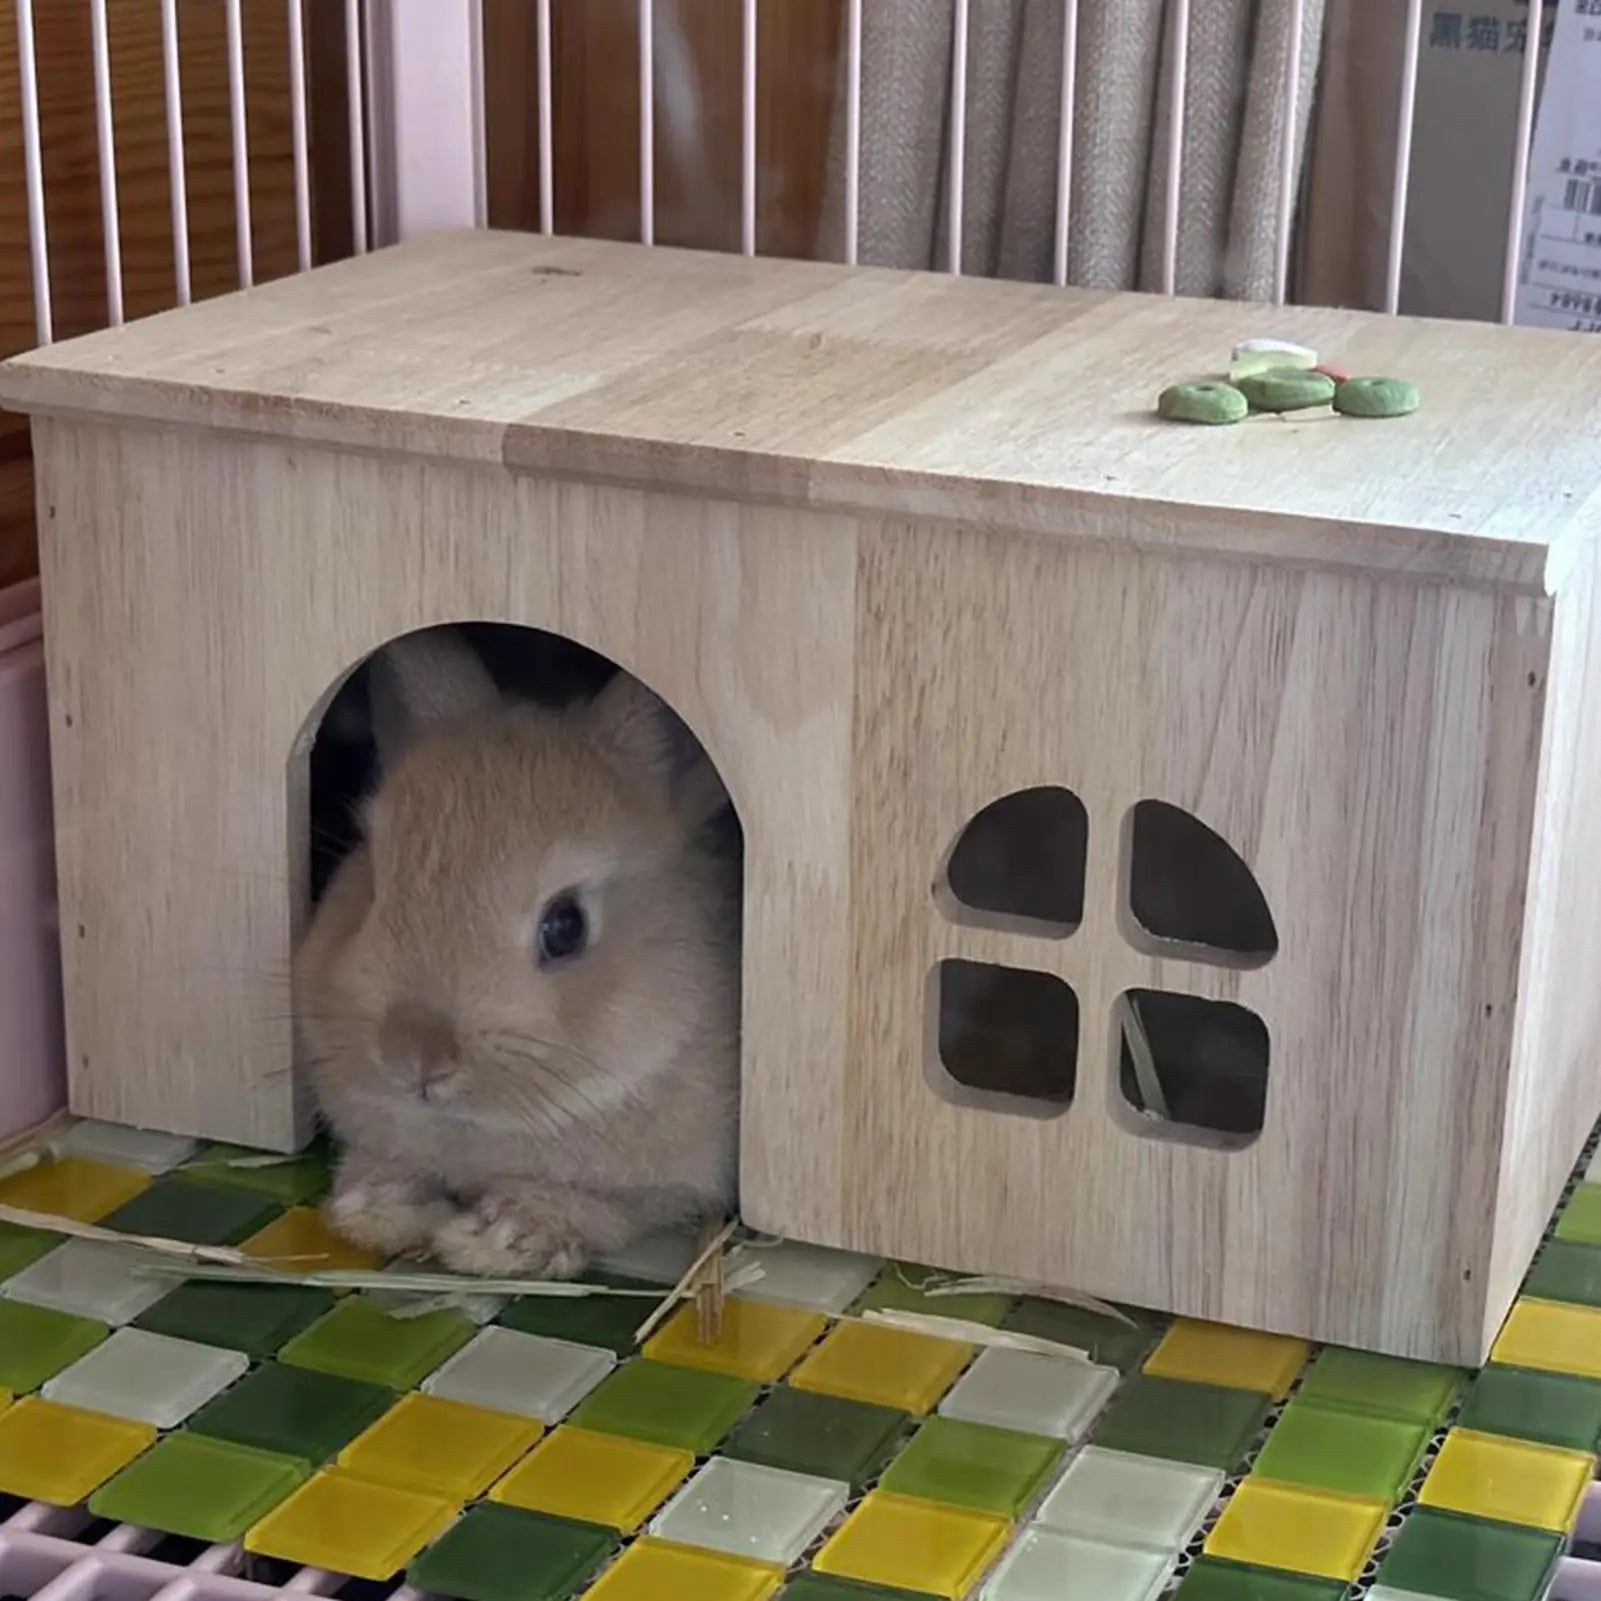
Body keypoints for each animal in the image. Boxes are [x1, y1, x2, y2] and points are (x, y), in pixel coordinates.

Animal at [294, 627, 741, 1278]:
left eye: (566, 926)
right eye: (373, 883)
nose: (414, 1058)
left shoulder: (668, 1185)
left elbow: (607, 1208)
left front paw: (498, 1237)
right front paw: (380, 1207)